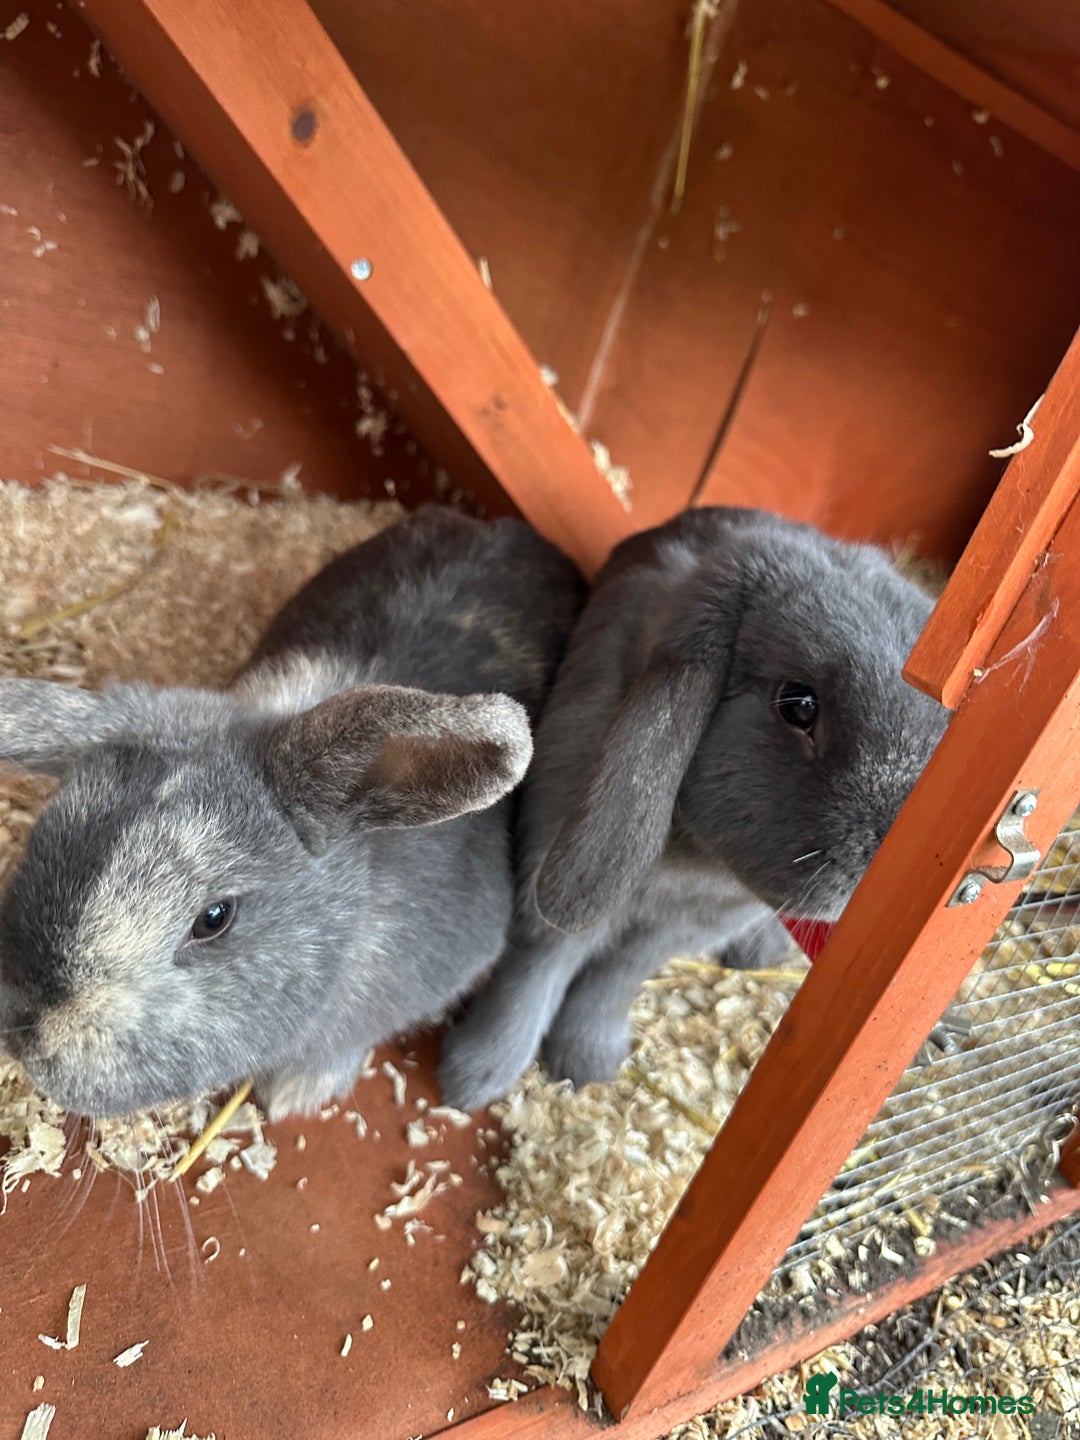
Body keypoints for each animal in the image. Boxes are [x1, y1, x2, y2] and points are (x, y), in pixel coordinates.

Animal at [440, 505, 949, 1110]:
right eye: (798, 704)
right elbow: (542, 961)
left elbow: (619, 975)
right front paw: (477, 1075)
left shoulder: (687, 929)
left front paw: (590, 1058)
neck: (697, 865)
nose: (887, 868)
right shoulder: (551, 864)